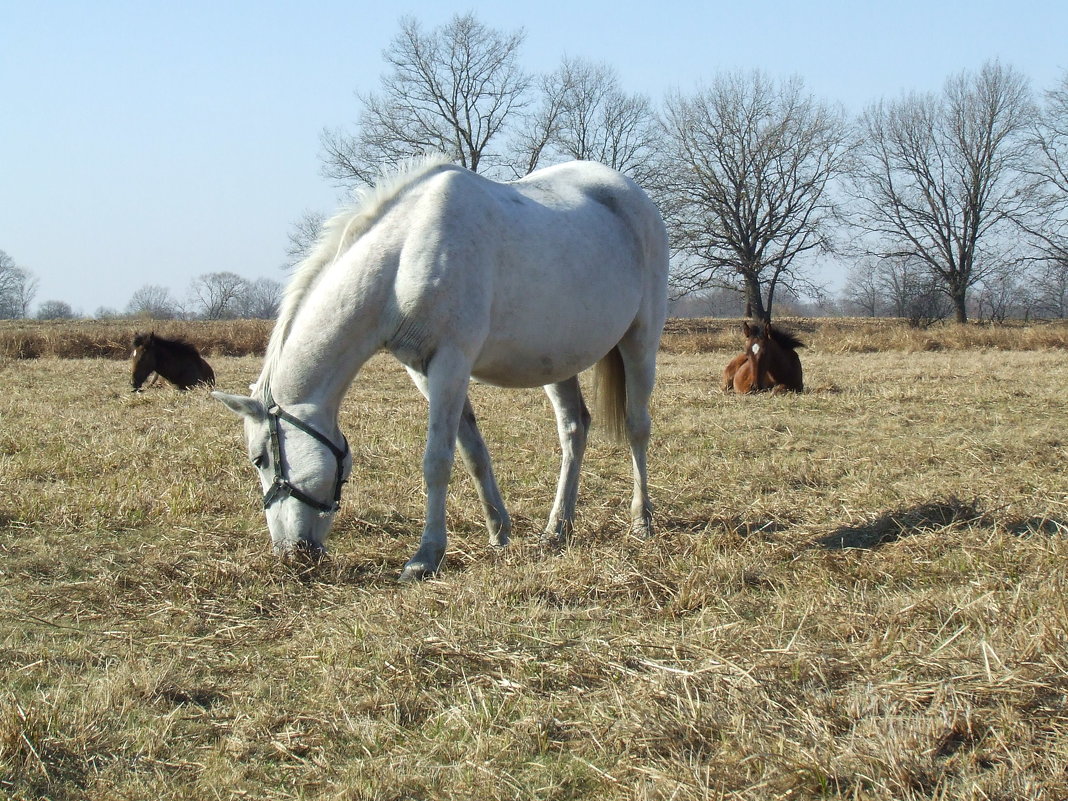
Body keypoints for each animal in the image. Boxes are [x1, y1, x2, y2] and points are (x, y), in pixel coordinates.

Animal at [212, 158, 666, 585]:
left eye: (259, 459)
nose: (290, 554)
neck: (404, 253)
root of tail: (633, 196)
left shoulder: (451, 363)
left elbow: (437, 460)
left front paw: (425, 557)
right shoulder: (423, 371)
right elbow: (472, 452)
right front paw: (499, 532)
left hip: (640, 341)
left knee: (637, 427)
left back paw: (641, 521)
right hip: (556, 360)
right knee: (574, 429)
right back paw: (558, 529)